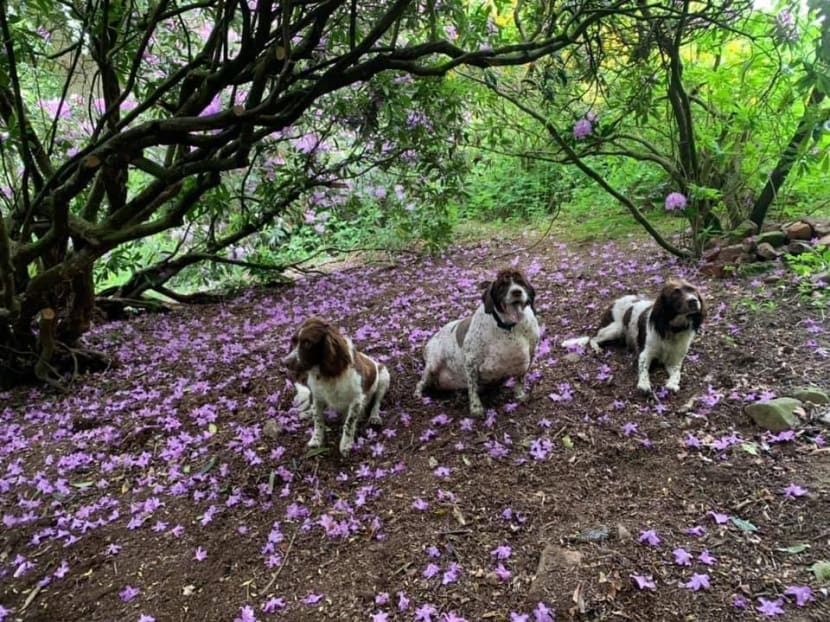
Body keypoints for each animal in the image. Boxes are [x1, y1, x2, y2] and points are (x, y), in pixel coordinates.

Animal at [284, 320, 392, 456]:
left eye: (307, 343)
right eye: (293, 342)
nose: (285, 362)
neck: (328, 374)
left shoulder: (356, 400)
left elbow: (349, 423)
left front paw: (346, 445)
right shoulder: (316, 395)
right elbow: (318, 419)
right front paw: (316, 440)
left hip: (383, 375)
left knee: (376, 403)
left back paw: (374, 417)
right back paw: (307, 413)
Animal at [420, 270, 544, 420]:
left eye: (522, 283)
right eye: (502, 286)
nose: (517, 292)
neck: (508, 327)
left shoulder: (530, 356)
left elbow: (520, 380)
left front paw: (519, 395)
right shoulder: (471, 362)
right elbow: (473, 388)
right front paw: (476, 408)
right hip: (433, 365)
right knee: (421, 383)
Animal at [564, 280, 704, 392]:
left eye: (694, 290)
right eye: (676, 293)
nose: (694, 301)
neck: (673, 329)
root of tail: (615, 301)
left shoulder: (675, 361)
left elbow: (677, 374)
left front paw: (672, 384)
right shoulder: (645, 354)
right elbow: (643, 369)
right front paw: (644, 384)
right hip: (616, 329)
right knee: (593, 338)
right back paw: (597, 348)